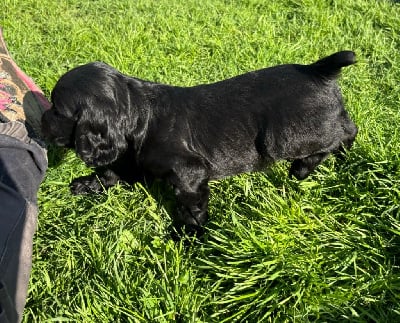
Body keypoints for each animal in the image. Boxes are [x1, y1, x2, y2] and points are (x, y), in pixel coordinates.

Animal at [42, 52, 358, 237]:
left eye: (57, 110)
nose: (40, 119)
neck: (138, 112)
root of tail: (317, 70)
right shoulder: (132, 160)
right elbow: (110, 173)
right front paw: (85, 185)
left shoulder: (189, 173)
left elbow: (190, 207)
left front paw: (187, 237)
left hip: (286, 137)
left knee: (345, 132)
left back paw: (305, 167)